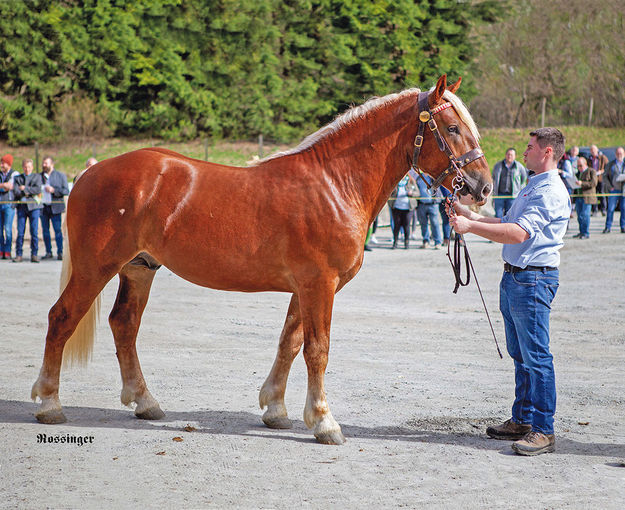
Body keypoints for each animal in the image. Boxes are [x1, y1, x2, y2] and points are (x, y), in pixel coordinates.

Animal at [31, 73, 490, 444]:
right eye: (452, 128)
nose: (482, 187)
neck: (334, 183)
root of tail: (91, 172)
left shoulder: (305, 287)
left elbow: (290, 342)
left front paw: (276, 409)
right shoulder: (319, 284)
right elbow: (317, 349)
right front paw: (324, 422)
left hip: (139, 269)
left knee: (124, 324)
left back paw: (145, 402)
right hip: (96, 268)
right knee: (61, 317)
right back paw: (50, 404)